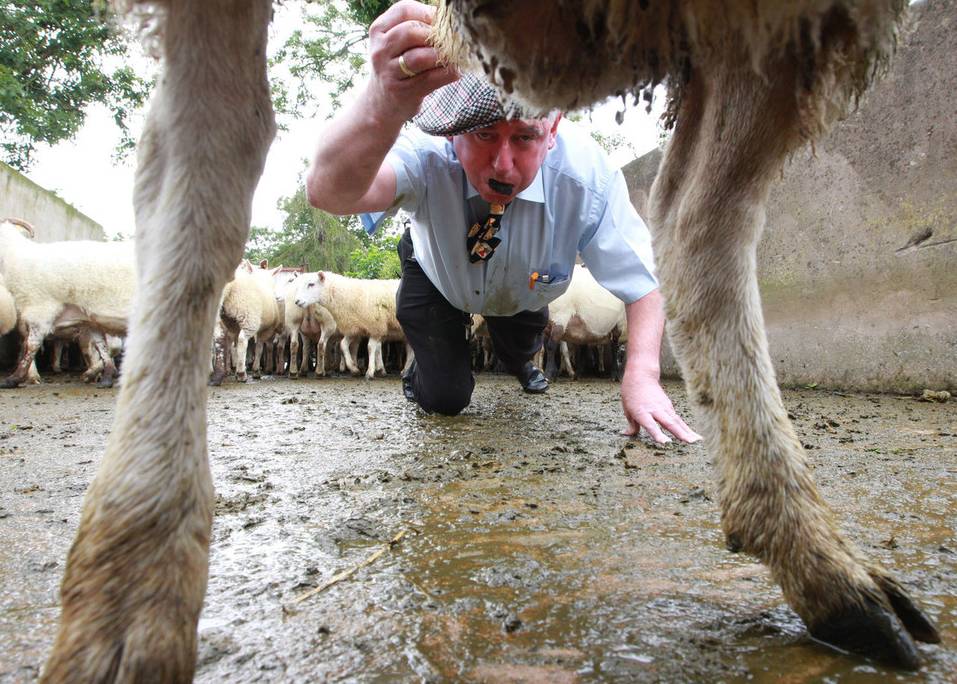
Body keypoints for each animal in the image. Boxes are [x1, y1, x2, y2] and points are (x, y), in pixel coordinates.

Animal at [0, 219, 134, 390]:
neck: (14, 257)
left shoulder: (40, 308)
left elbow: (31, 345)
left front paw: (14, 379)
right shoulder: (89, 319)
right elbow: (101, 346)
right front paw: (105, 377)